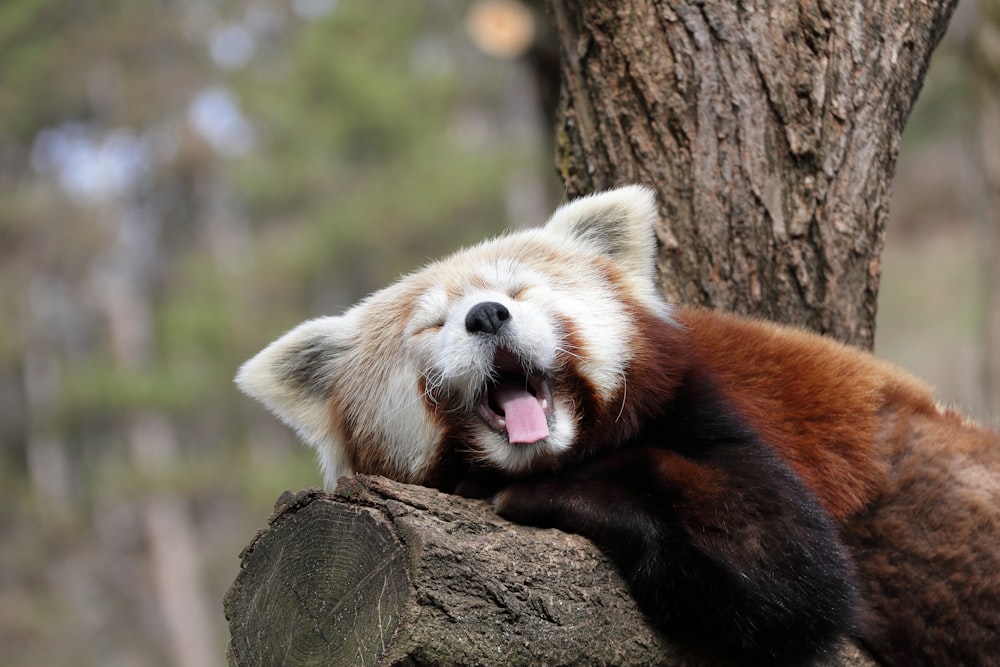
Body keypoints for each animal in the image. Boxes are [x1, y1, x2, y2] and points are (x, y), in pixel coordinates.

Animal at [238, 185, 1000, 664]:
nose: (486, 315)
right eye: (433, 323)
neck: (551, 450)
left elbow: (793, 571)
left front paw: (555, 496)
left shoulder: (702, 403)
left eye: (518, 290)